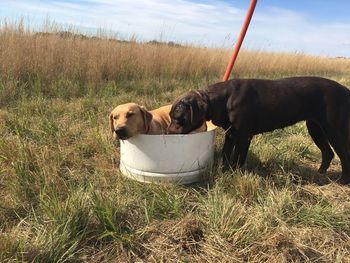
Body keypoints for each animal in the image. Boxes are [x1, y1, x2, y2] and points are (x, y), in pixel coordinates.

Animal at [167, 76, 350, 184]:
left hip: (334, 130)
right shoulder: (231, 135)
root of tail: (346, 90)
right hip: (315, 128)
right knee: (328, 153)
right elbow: (226, 155)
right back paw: (320, 173)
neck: (222, 99)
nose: (167, 133)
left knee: (343, 155)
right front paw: (224, 172)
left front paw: (234, 174)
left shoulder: (243, 136)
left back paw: (343, 180)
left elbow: (237, 158)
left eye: (177, 118)